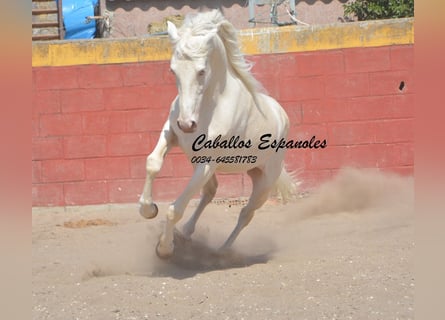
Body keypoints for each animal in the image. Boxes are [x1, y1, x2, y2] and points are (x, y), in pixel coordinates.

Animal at [140, 10, 294, 258]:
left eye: (201, 71)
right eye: (173, 70)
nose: (186, 124)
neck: (208, 108)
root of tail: (282, 115)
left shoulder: (207, 163)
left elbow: (175, 209)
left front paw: (164, 248)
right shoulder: (171, 134)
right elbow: (152, 163)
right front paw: (148, 209)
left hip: (264, 182)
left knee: (246, 214)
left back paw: (222, 251)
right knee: (211, 192)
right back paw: (186, 233)